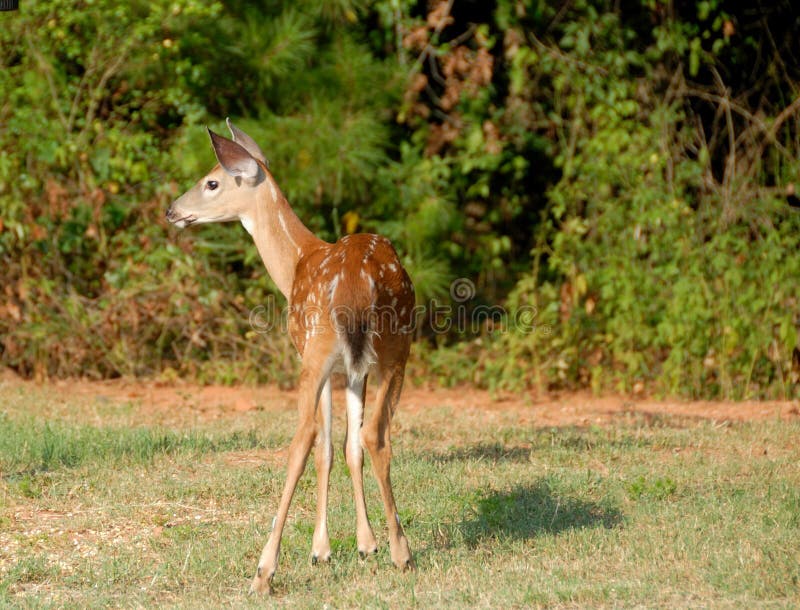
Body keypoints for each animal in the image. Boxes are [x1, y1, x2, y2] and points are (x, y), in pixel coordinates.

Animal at [165, 119, 415, 594]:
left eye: (212, 181)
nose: (171, 211)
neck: (298, 261)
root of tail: (357, 283)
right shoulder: (353, 370)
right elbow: (349, 446)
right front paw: (366, 544)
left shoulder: (321, 360)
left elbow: (324, 448)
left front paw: (321, 551)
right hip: (397, 347)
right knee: (375, 434)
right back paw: (400, 551)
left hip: (315, 350)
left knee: (302, 440)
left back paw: (265, 570)